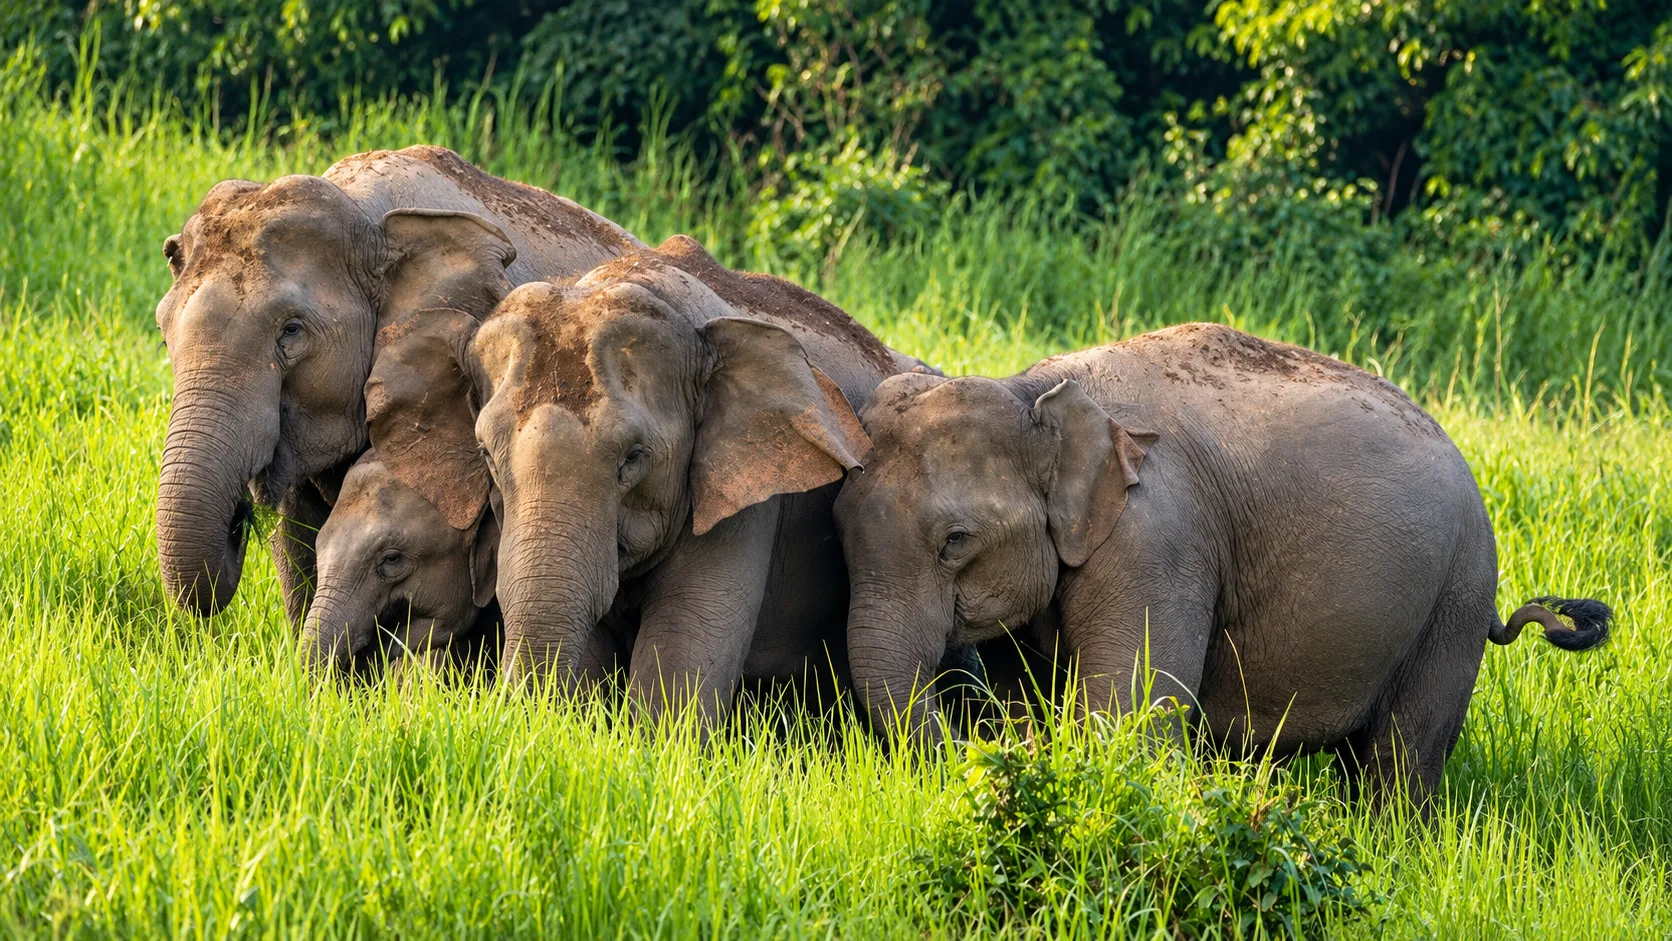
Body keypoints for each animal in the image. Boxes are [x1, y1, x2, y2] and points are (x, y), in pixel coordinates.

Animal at [832, 322, 1611, 804]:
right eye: (836, 525)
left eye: (955, 541)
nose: (976, 741)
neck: (1031, 393)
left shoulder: (1158, 541)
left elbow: (1130, 718)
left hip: (1456, 594)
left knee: (1402, 757)